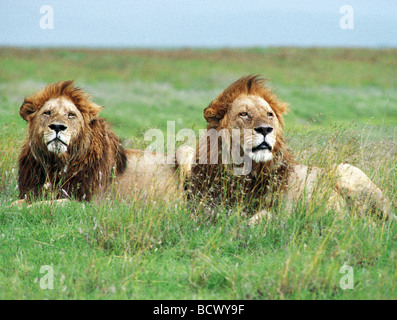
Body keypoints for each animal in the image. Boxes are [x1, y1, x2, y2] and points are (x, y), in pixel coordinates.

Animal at [13, 80, 185, 208]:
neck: (56, 164)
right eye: (47, 113)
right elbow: (16, 202)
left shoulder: (89, 202)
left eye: (71, 115)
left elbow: (46, 204)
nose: (57, 127)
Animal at [184, 76, 394, 224]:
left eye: (269, 114)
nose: (265, 129)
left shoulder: (283, 209)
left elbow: (258, 218)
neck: (244, 172)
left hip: (349, 173)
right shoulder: (200, 205)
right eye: (243, 114)